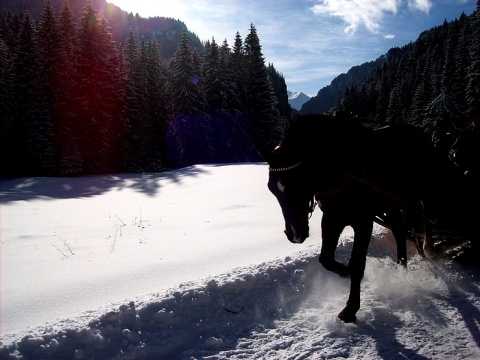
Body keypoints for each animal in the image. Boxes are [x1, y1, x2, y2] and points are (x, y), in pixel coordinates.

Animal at [264, 114, 460, 322]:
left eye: (300, 181)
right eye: (272, 188)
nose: (295, 234)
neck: (343, 168)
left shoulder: (363, 222)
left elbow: (357, 264)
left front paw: (351, 308)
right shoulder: (333, 218)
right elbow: (326, 259)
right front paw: (344, 272)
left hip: (421, 193)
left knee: (426, 217)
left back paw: (428, 247)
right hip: (392, 204)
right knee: (399, 230)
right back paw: (401, 269)